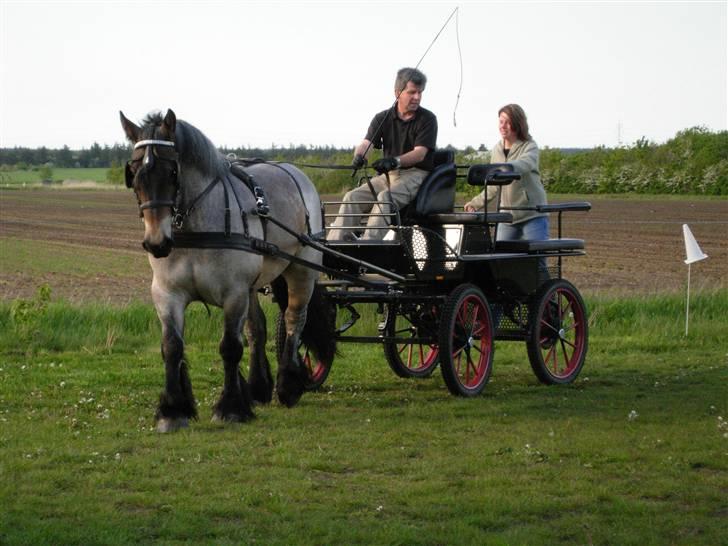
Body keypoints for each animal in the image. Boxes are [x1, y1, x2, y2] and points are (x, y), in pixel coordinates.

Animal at [120, 107, 336, 430]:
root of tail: (295, 171)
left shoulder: (233, 293)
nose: (157, 243)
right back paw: (259, 387)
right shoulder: (167, 293)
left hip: (301, 271)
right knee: (257, 328)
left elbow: (230, 347)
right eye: (134, 173)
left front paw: (231, 408)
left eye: (172, 172)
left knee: (294, 319)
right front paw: (173, 410)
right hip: (253, 285)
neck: (196, 227)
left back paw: (288, 384)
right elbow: (172, 346)